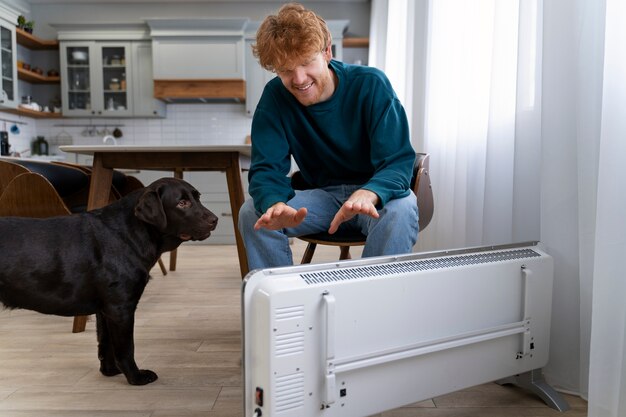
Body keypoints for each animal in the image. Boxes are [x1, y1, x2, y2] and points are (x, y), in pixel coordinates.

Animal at [0, 177, 217, 386]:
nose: (214, 220)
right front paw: (136, 377)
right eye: (182, 203)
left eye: (197, 197)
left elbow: (105, 343)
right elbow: (126, 347)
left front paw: (110, 371)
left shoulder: (105, 310)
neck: (130, 233)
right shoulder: (120, 307)